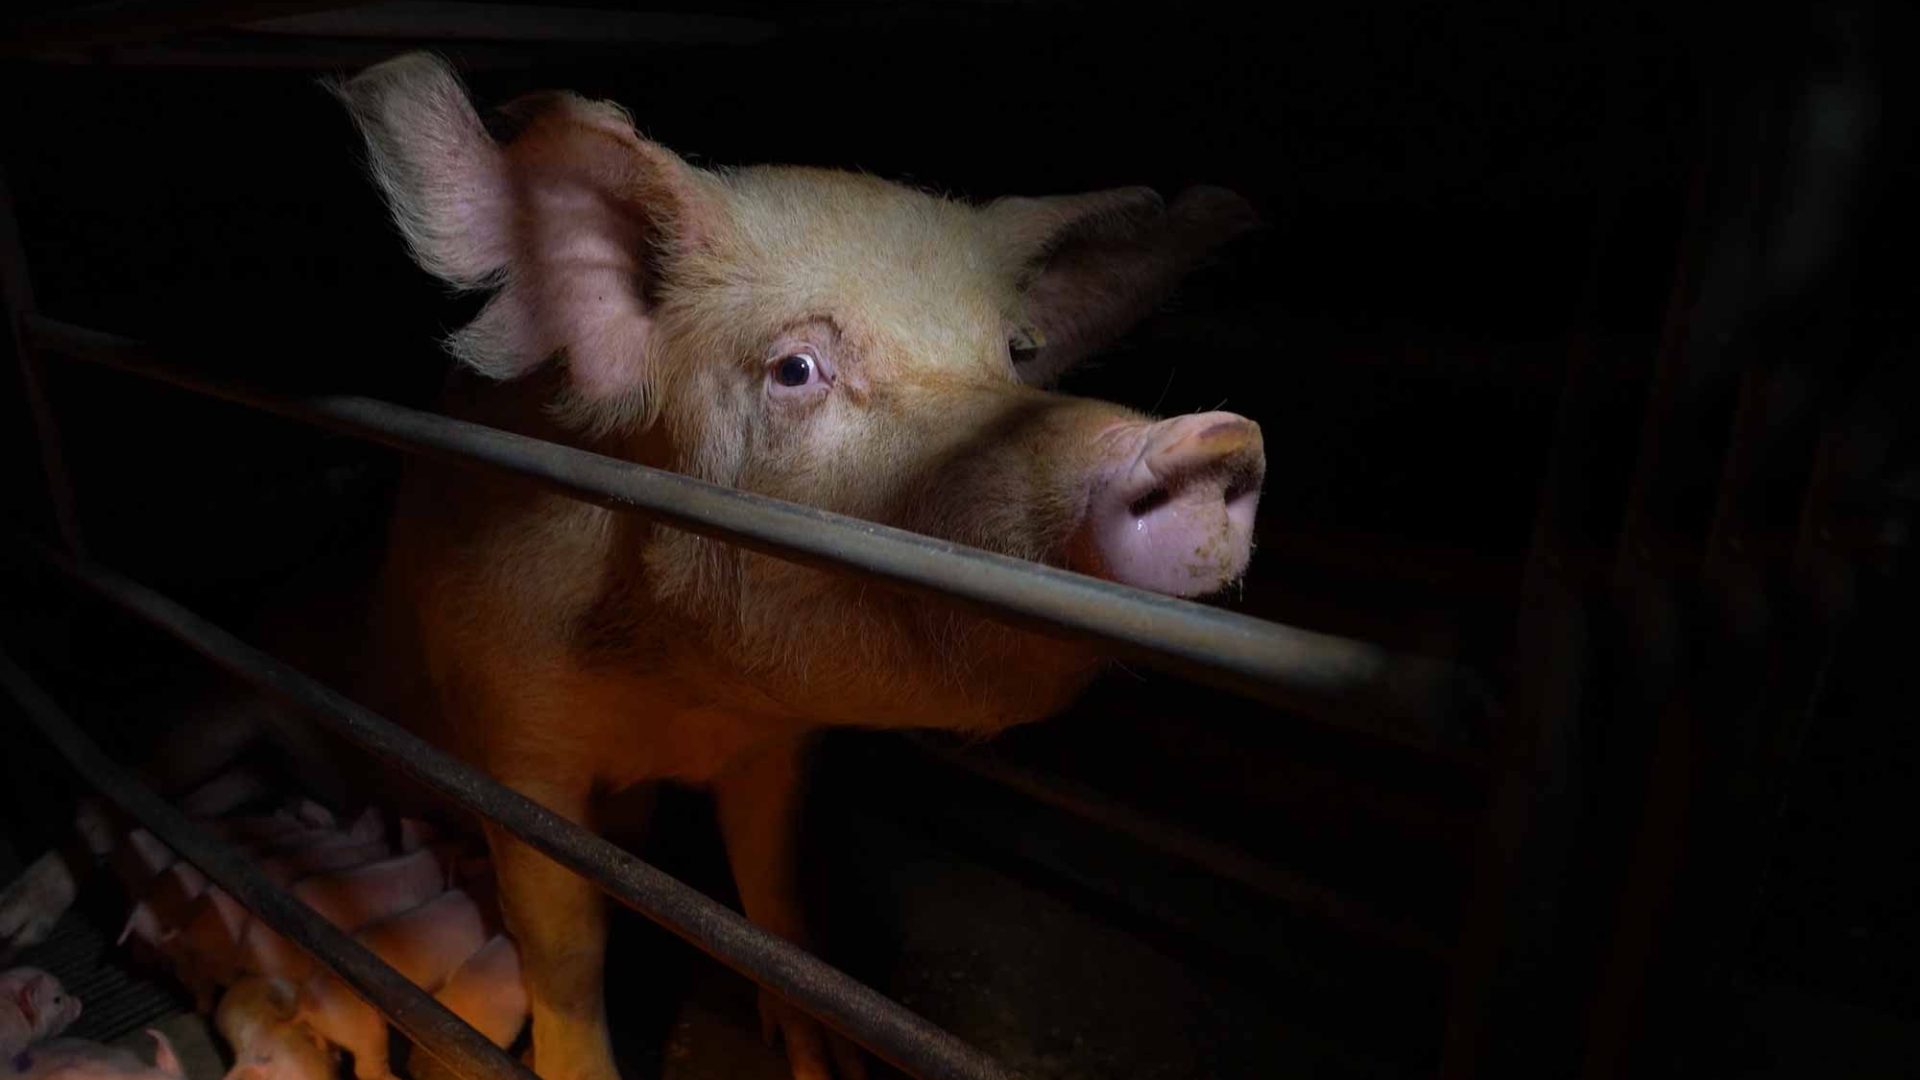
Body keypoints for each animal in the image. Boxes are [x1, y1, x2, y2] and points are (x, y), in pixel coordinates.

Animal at [322, 52, 1267, 1080]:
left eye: (1015, 356)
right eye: (796, 370)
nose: (1212, 437)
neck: (678, 706)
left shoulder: (775, 747)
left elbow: (772, 893)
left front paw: (830, 1062)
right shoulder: (512, 737)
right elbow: (564, 943)